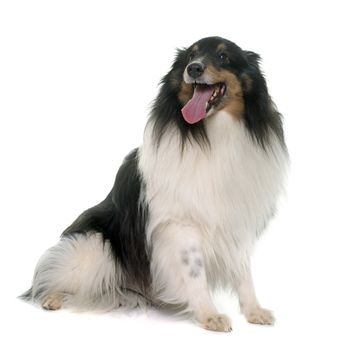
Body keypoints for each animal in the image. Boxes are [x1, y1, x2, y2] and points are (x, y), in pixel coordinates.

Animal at [21, 37, 288, 332]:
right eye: (190, 56)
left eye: (223, 56)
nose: (194, 69)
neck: (214, 135)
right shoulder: (181, 225)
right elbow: (195, 272)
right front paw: (209, 315)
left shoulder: (236, 223)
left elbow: (243, 274)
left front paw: (254, 311)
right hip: (93, 248)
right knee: (51, 278)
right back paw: (51, 298)